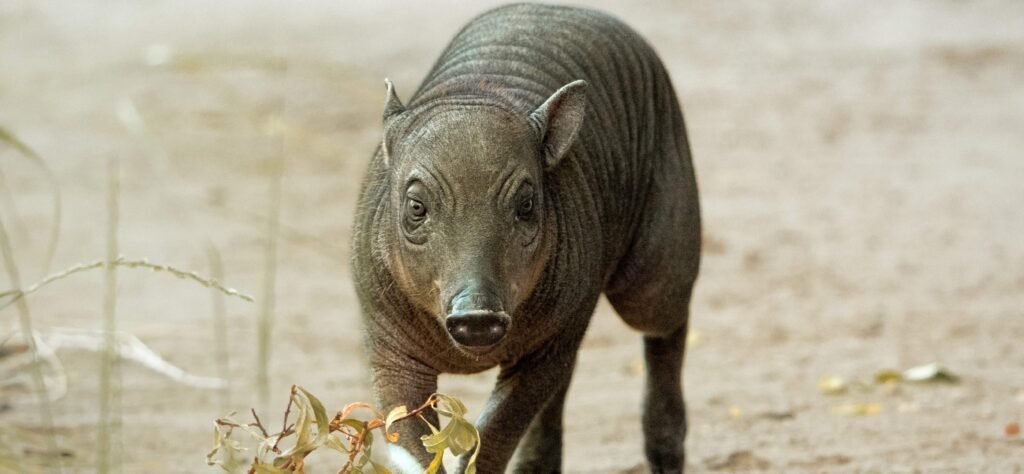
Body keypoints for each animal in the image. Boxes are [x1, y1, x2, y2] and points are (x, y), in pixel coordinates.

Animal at [351, 3, 700, 473]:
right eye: (416, 207)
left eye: (527, 205)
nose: (478, 316)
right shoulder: (390, 349)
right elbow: (409, 436)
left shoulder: (552, 339)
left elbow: (497, 432)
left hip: (659, 258)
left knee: (665, 319)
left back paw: (665, 451)